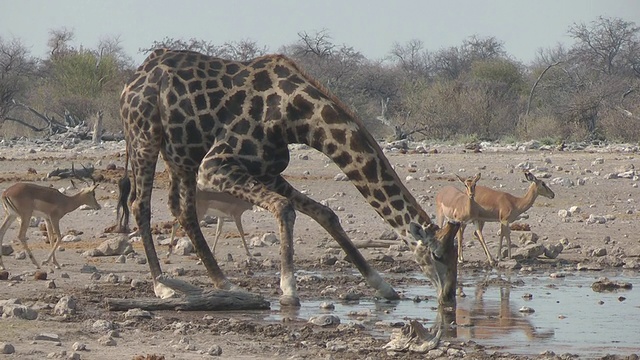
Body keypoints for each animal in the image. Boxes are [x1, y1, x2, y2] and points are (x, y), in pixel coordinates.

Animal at [120, 48, 460, 306]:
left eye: (455, 256)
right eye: (438, 255)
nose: (449, 297)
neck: (297, 115)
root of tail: (132, 80)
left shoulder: (267, 171)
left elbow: (325, 213)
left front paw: (383, 286)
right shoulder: (215, 165)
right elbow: (284, 208)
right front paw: (288, 289)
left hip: (180, 155)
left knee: (182, 209)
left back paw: (223, 283)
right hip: (145, 136)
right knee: (140, 204)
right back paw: (162, 286)